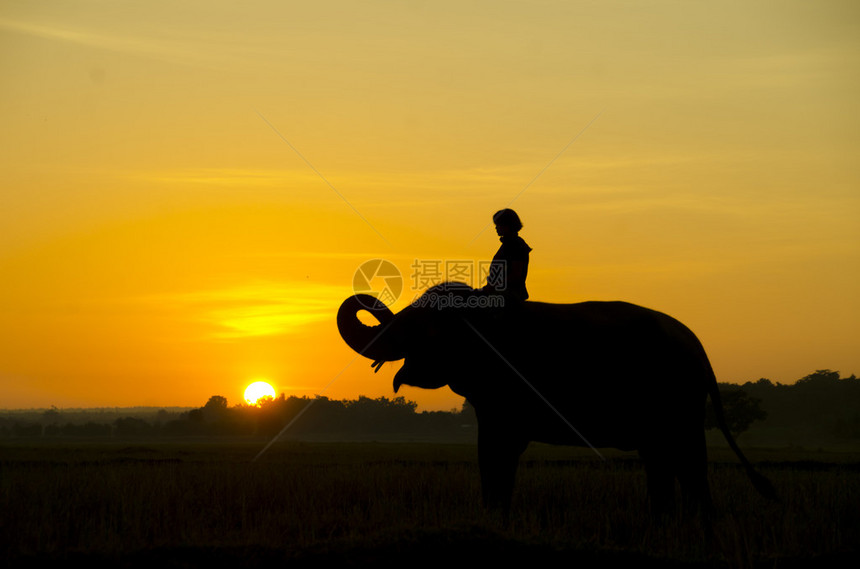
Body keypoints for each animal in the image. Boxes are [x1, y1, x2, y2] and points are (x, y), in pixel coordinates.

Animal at [338, 282, 780, 512]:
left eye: (419, 324)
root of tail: (700, 349)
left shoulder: (509, 390)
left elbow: (497, 452)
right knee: (663, 465)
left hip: (679, 400)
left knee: (689, 467)